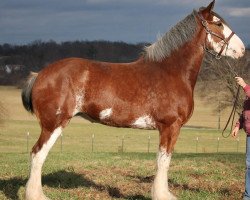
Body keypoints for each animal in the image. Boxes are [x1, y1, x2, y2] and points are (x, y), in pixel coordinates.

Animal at [21, 0, 244, 199]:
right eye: (218, 23)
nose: (242, 49)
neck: (171, 71)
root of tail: (40, 74)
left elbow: (163, 161)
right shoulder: (170, 126)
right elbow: (163, 161)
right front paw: (162, 195)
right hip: (53, 124)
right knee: (37, 154)